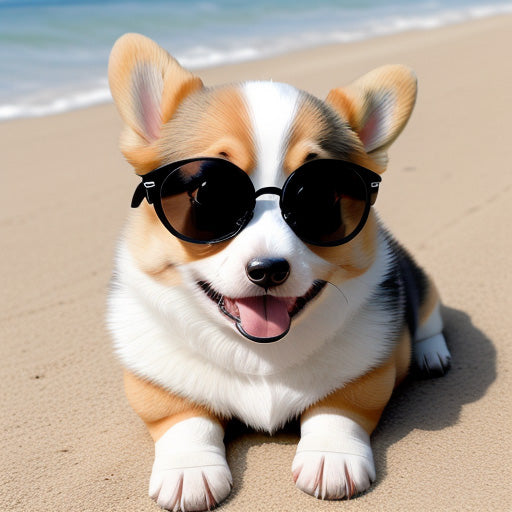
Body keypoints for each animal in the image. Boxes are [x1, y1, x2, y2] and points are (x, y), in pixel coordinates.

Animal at [106, 34, 450, 510]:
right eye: (207, 193)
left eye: (321, 197)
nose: (267, 270)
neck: (258, 354)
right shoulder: (156, 383)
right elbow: (183, 417)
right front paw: (189, 472)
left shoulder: (370, 369)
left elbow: (340, 405)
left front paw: (331, 458)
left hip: (422, 281)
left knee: (430, 320)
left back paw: (432, 354)